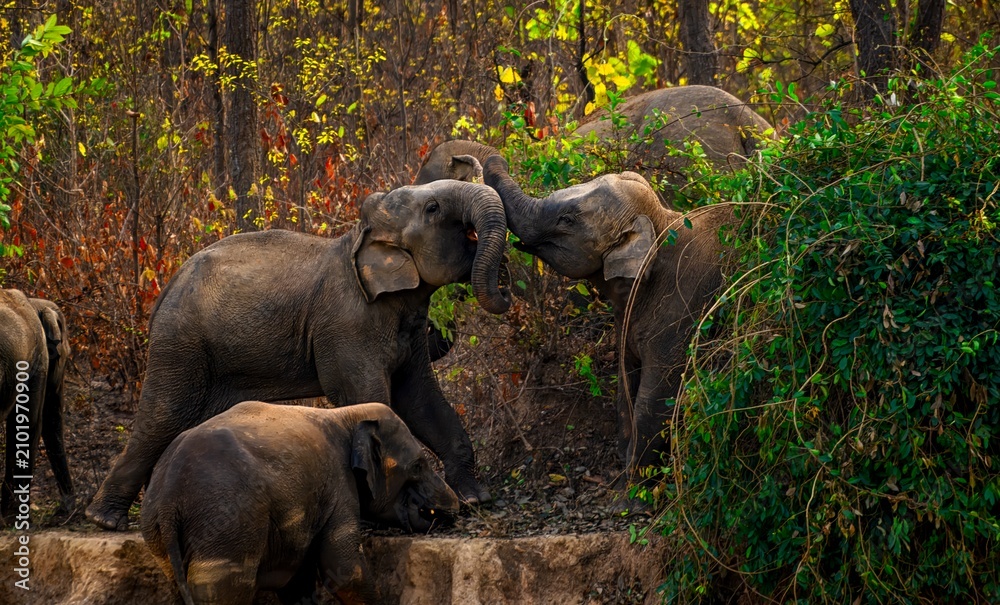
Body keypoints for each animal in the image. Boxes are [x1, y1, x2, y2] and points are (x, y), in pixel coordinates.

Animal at [86, 179, 510, 531]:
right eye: (434, 209)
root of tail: (167, 287)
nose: (506, 286)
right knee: (164, 414)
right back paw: (105, 520)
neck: (359, 236)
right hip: (181, 343)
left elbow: (420, 400)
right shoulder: (345, 325)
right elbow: (370, 399)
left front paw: (475, 499)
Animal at [141, 400, 459, 605]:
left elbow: (297, 578)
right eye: (418, 465)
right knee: (225, 590)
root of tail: (168, 499)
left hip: (159, 538)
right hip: (226, 528)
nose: (454, 511)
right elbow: (343, 569)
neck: (345, 415)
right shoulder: (338, 481)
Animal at [482, 155, 732, 492]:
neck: (661, 221)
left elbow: (655, 399)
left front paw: (630, 495)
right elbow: (625, 384)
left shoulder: (684, 311)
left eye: (567, 220)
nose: (492, 158)